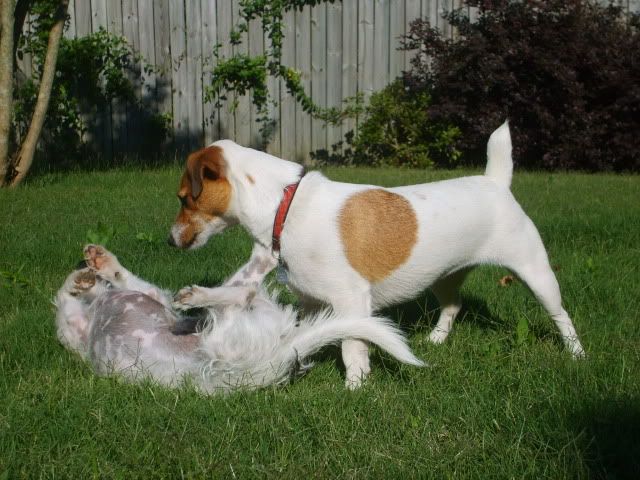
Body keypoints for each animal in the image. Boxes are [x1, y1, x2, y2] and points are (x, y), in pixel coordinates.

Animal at [55, 246, 422, 392]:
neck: (96, 306)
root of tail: (282, 353)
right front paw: (89, 273)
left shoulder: (150, 300)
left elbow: (73, 295)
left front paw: (89, 272)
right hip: (234, 330)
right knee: (244, 289)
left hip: (225, 331)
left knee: (240, 291)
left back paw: (199, 294)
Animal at [169, 122, 584, 388]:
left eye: (185, 198)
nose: (170, 241)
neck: (285, 204)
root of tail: (495, 182)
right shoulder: (304, 298)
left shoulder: (351, 299)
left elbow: (353, 344)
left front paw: (355, 386)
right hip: (444, 277)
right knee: (452, 306)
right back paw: (436, 339)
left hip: (536, 273)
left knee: (561, 315)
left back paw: (577, 354)